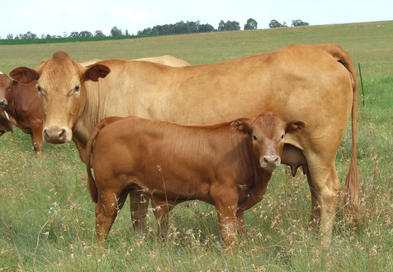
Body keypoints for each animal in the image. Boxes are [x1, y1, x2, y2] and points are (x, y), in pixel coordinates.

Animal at [86, 111, 304, 245]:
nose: (270, 159)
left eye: (282, 136)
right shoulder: (224, 197)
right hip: (110, 190)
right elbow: (229, 234)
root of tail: (116, 119)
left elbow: (239, 231)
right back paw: (100, 251)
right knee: (103, 220)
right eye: (255, 136)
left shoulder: (239, 205)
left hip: (130, 190)